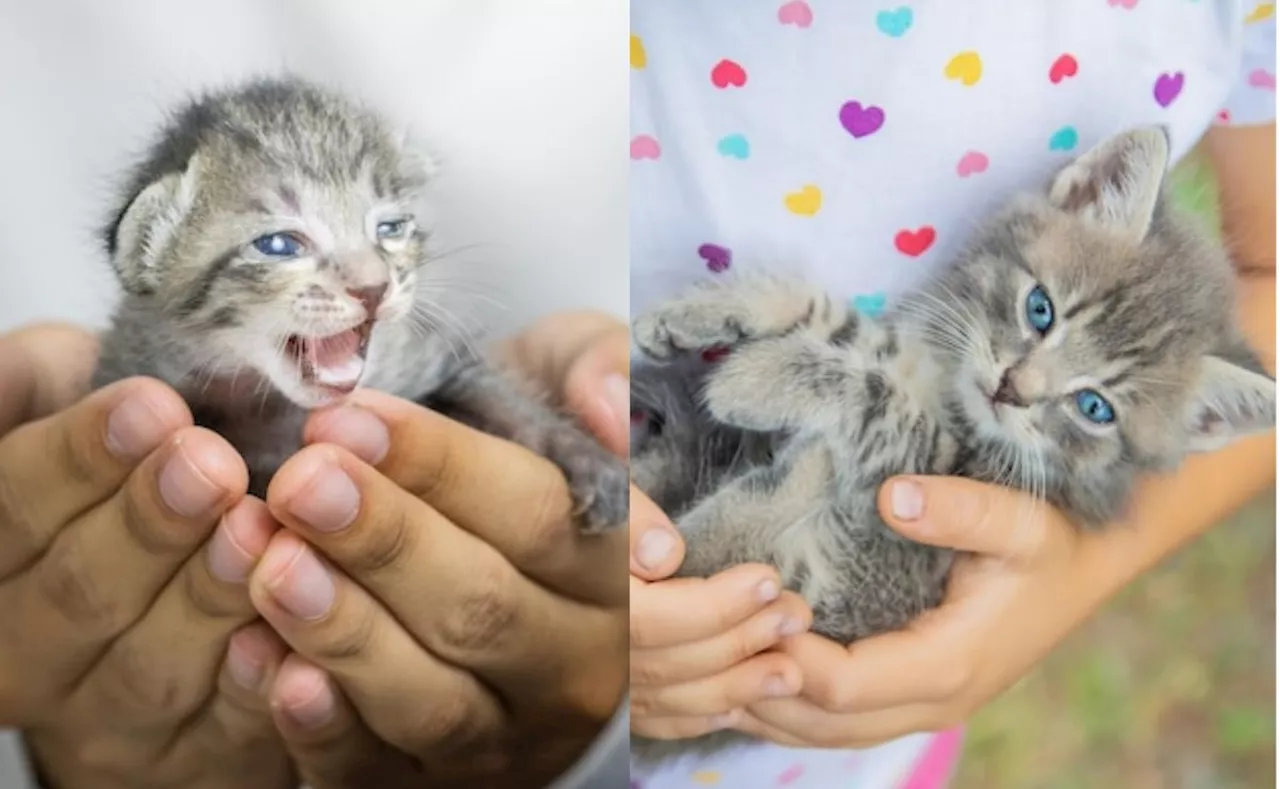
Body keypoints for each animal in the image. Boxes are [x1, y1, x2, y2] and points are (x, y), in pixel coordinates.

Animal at [88, 75, 624, 530]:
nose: (373, 287)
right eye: (279, 245)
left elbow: (499, 393)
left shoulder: (429, 356)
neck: (279, 408)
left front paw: (583, 457)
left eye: (390, 228)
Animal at [627, 126, 1269, 763]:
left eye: (1095, 408)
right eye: (1040, 309)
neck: (953, 402)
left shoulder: (875, 565)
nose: (1012, 389)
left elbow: (879, 401)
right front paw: (708, 312)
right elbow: (844, 327)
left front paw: (757, 380)